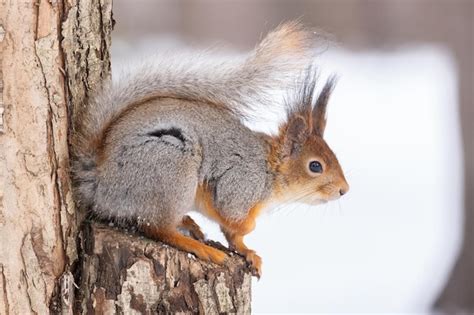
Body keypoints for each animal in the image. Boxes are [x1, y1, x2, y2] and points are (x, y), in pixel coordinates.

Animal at [72, 22, 350, 278]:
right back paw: (199, 246)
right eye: (315, 166)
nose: (344, 190)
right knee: (157, 228)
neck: (270, 170)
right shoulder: (240, 185)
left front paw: (249, 253)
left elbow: (234, 238)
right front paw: (248, 229)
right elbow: (234, 218)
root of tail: (101, 181)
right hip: (171, 171)